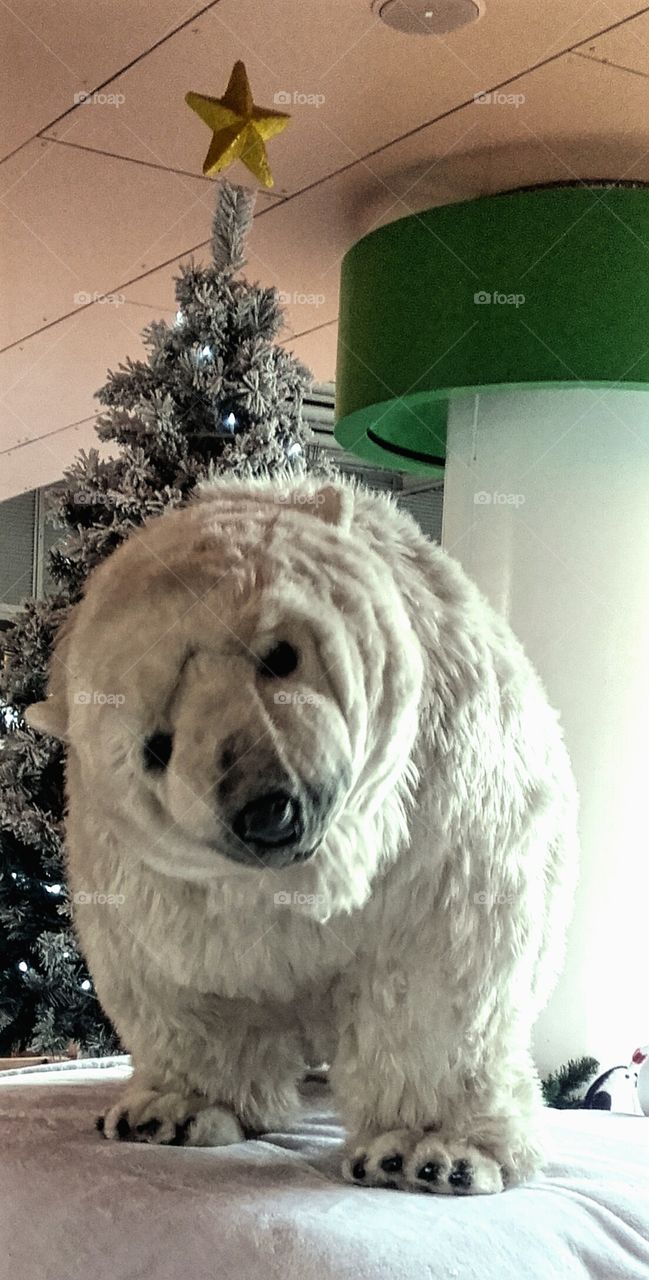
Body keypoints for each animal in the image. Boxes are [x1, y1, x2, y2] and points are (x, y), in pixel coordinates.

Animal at [26, 475, 578, 1195]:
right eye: (155, 746)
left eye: (279, 654)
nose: (266, 809)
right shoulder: (148, 878)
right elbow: (182, 982)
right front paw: (173, 1110)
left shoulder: (443, 819)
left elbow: (436, 973)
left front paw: (424, 1151)